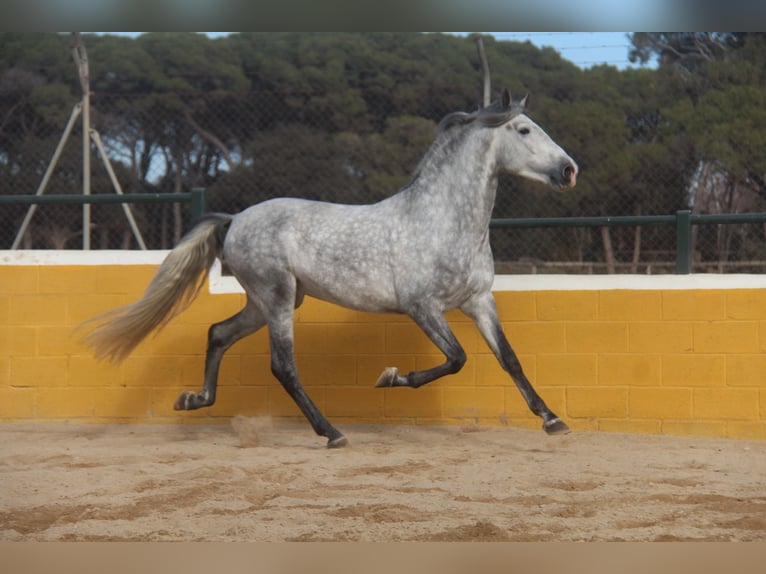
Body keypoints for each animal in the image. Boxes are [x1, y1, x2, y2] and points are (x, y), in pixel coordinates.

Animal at [81, 90, 580, 450]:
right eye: (524, 129)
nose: (569, 170)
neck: (442, 219)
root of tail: (235, 220)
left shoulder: (478, 301)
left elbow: (508, 359)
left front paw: (553, 420)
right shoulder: (422, 306)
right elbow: (457, 358)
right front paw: (390, 377)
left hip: (266, 301)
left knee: (218, 333)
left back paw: (194, 400)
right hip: (278, 298)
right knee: (283, 366)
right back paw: (332, 433)